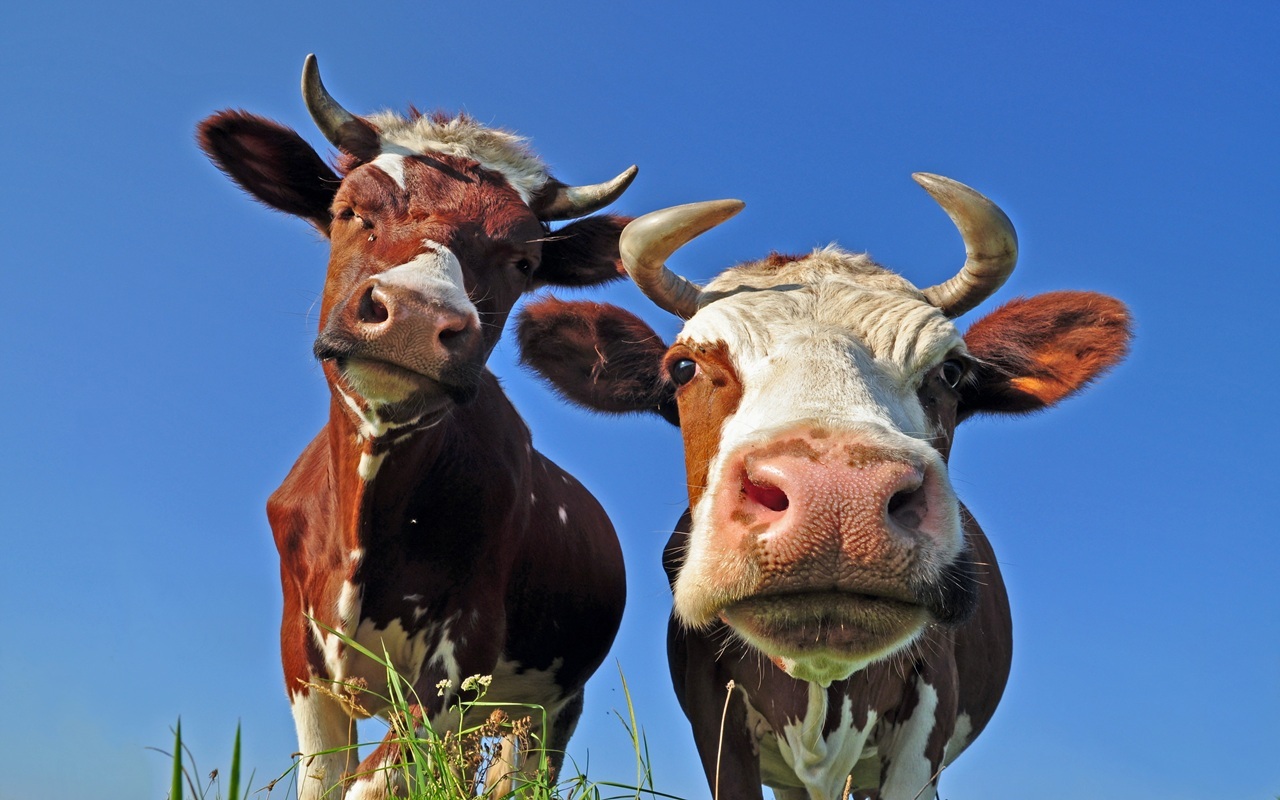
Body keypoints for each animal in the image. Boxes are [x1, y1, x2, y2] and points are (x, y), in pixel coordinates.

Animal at [196, 56, 633, 799]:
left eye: (523, 262)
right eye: (350, 210)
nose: (414, 316)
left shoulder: (464, 658)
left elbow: (372, 786)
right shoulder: (302, 658)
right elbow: (325, 780)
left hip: (548, 708)